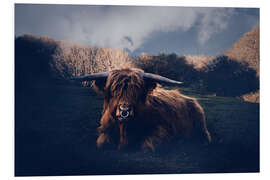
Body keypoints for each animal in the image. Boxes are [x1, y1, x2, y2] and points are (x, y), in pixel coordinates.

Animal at [71, 67, 211, 152]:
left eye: (136, 91)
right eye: (114, 90)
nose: (124, 110)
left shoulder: (162, 129)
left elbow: (148, 146)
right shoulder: (105, 129)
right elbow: (102, 143)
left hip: (201, 126)